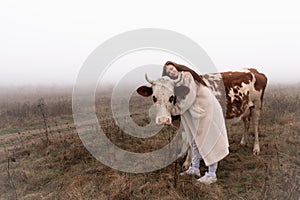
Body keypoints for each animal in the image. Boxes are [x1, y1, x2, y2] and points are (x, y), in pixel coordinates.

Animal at [136, 68, 268, 167]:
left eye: (171, 97)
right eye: (154, 97)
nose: (163, 119)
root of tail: (253, 70)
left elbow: (190, 142)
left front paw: (188, 162)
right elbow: (183, 139)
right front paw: (182, 155)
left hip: (256, 106)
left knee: (255, 126)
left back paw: (256, 149)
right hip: (245, 108)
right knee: (246, 123)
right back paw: (243, 142)